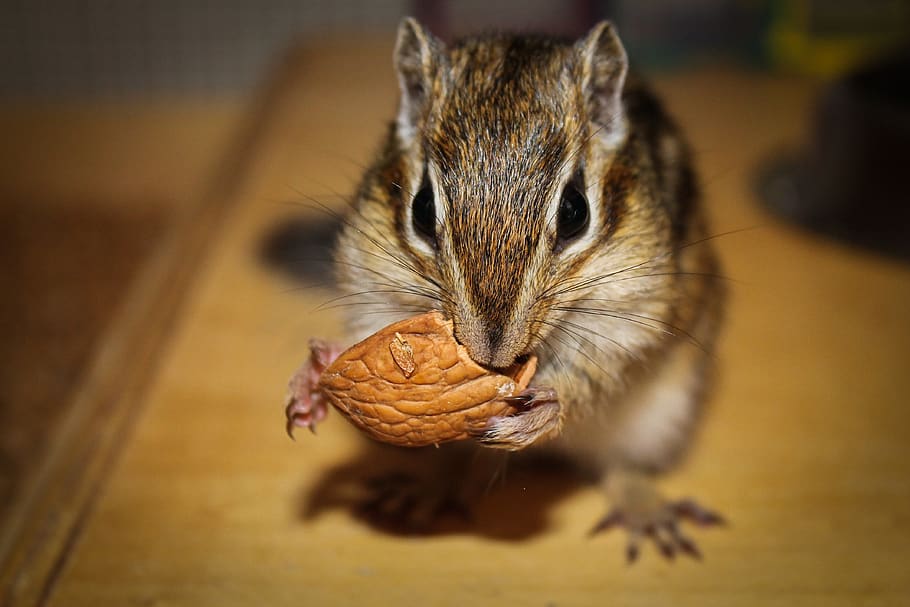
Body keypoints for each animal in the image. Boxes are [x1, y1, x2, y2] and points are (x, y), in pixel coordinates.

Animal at [288, 18, 726, 561]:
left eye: (576, 210)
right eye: (421, 208)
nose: (491, 351)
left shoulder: (636, 311)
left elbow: (595, 376)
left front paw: (545, 409)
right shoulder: (372, 280)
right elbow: (365, 341)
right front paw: (314, 374)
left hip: (658, 419)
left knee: (621, 466)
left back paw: (647, 512)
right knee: (456, 462)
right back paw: (425, 489)